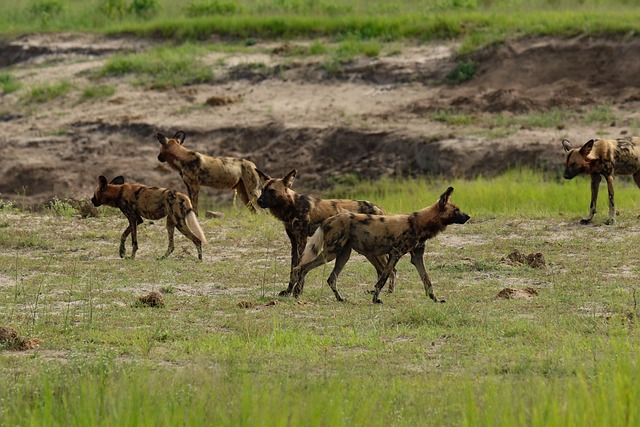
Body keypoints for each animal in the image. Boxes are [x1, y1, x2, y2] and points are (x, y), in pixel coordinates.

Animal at [255, 168, 396, 298]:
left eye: (272, 191)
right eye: (262, 190)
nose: (258, 201)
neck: (291, 207)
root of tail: (379, 208)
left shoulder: (302, 241)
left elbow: (300, 267)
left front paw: (298, 291)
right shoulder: (294, 243)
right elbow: (293, 269)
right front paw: (288, 291)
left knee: (391, 269)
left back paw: (389, 292)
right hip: (369, 251)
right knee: (382, 269)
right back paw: (378, 291)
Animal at [292, 187, 468, 304]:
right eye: (456, 210)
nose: (468, 216)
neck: (420, 224)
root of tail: (329, 219)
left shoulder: (417, 258)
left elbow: (427, 280)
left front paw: (435, 299)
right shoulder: (396, 254)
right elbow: (383, 279)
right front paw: (376, 299)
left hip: (343, 255)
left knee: (331, 278)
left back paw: (340, 298)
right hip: (331, 253)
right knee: (303, 267)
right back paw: (296, 293)